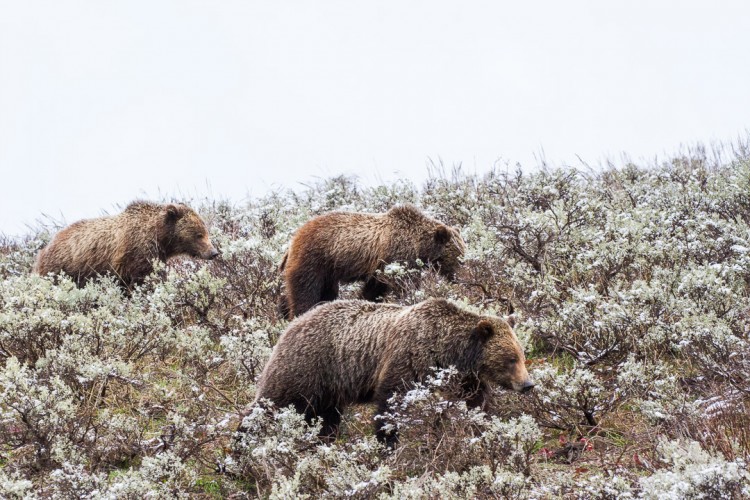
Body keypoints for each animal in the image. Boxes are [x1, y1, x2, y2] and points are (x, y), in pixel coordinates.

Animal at [34, 200, 220, 288]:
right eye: (199, 235)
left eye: (206, 232)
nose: (214, 253)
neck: (160, 237)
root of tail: (44, 249)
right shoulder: (137, 253)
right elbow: (142, 280)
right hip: (61, 268)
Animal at [253, 298, 536, 448]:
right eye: (511, 359)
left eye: (522, 355)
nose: (528, 384)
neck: (447, 351)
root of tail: (291, 324)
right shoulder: (407, 357)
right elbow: (391, 401)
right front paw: (388, 442)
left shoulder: (465, 378)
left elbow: (477, 402)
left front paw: (483, 429)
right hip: (308, 367)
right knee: (272, 403)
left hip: (329, 388)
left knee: (326, 417)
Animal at [276, 204, 464, 318]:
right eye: (459, 258)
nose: (461, 278)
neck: (420, 245)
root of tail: (292, 242)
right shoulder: (399, 256)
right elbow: (404, 285)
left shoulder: (380, 267)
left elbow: (374, 289)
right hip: (314, 260)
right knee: (305, 292)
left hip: (328, 273)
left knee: (326, 293)